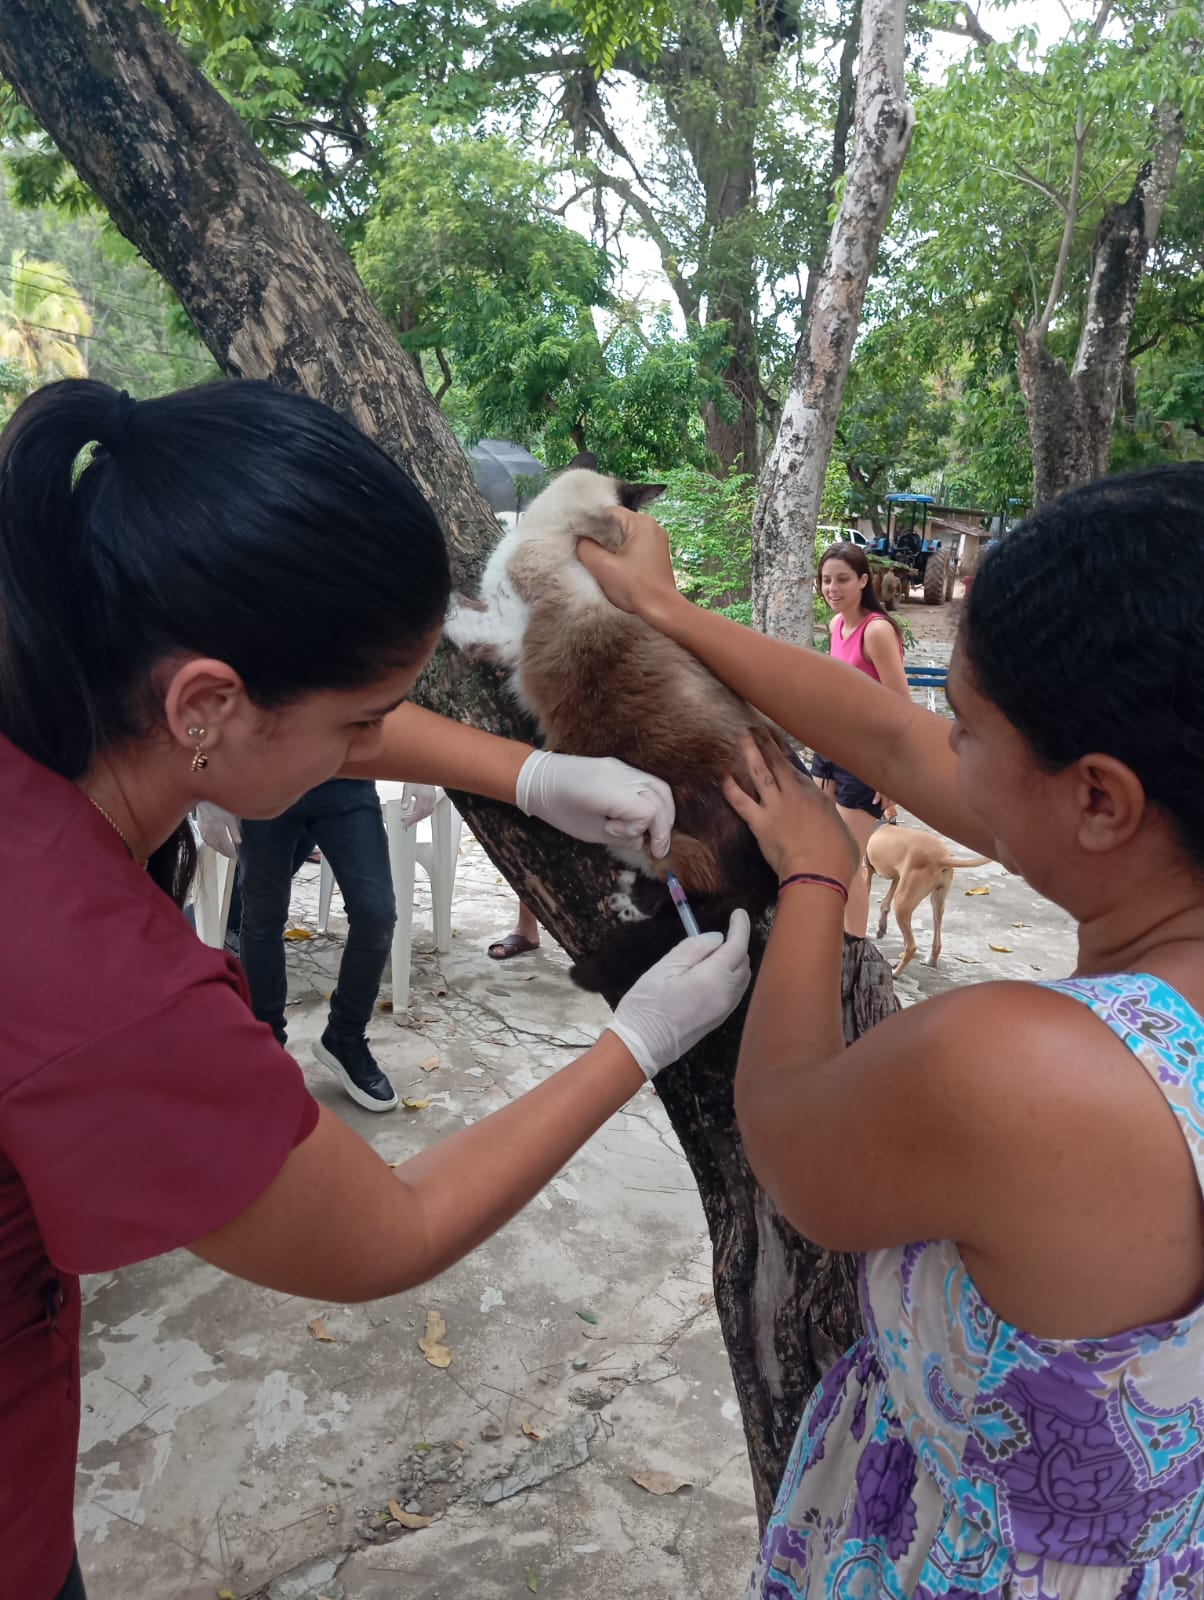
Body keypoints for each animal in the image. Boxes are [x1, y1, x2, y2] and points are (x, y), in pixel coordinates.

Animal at [870, 825, 992, 972]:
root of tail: (941, 857)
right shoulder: (897, 878)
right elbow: (885, 905)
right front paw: (881, 928)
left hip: (902, 903)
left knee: (911, 946)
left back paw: (896, 972)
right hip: (937, 901)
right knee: (937, 940)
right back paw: (930, 961)